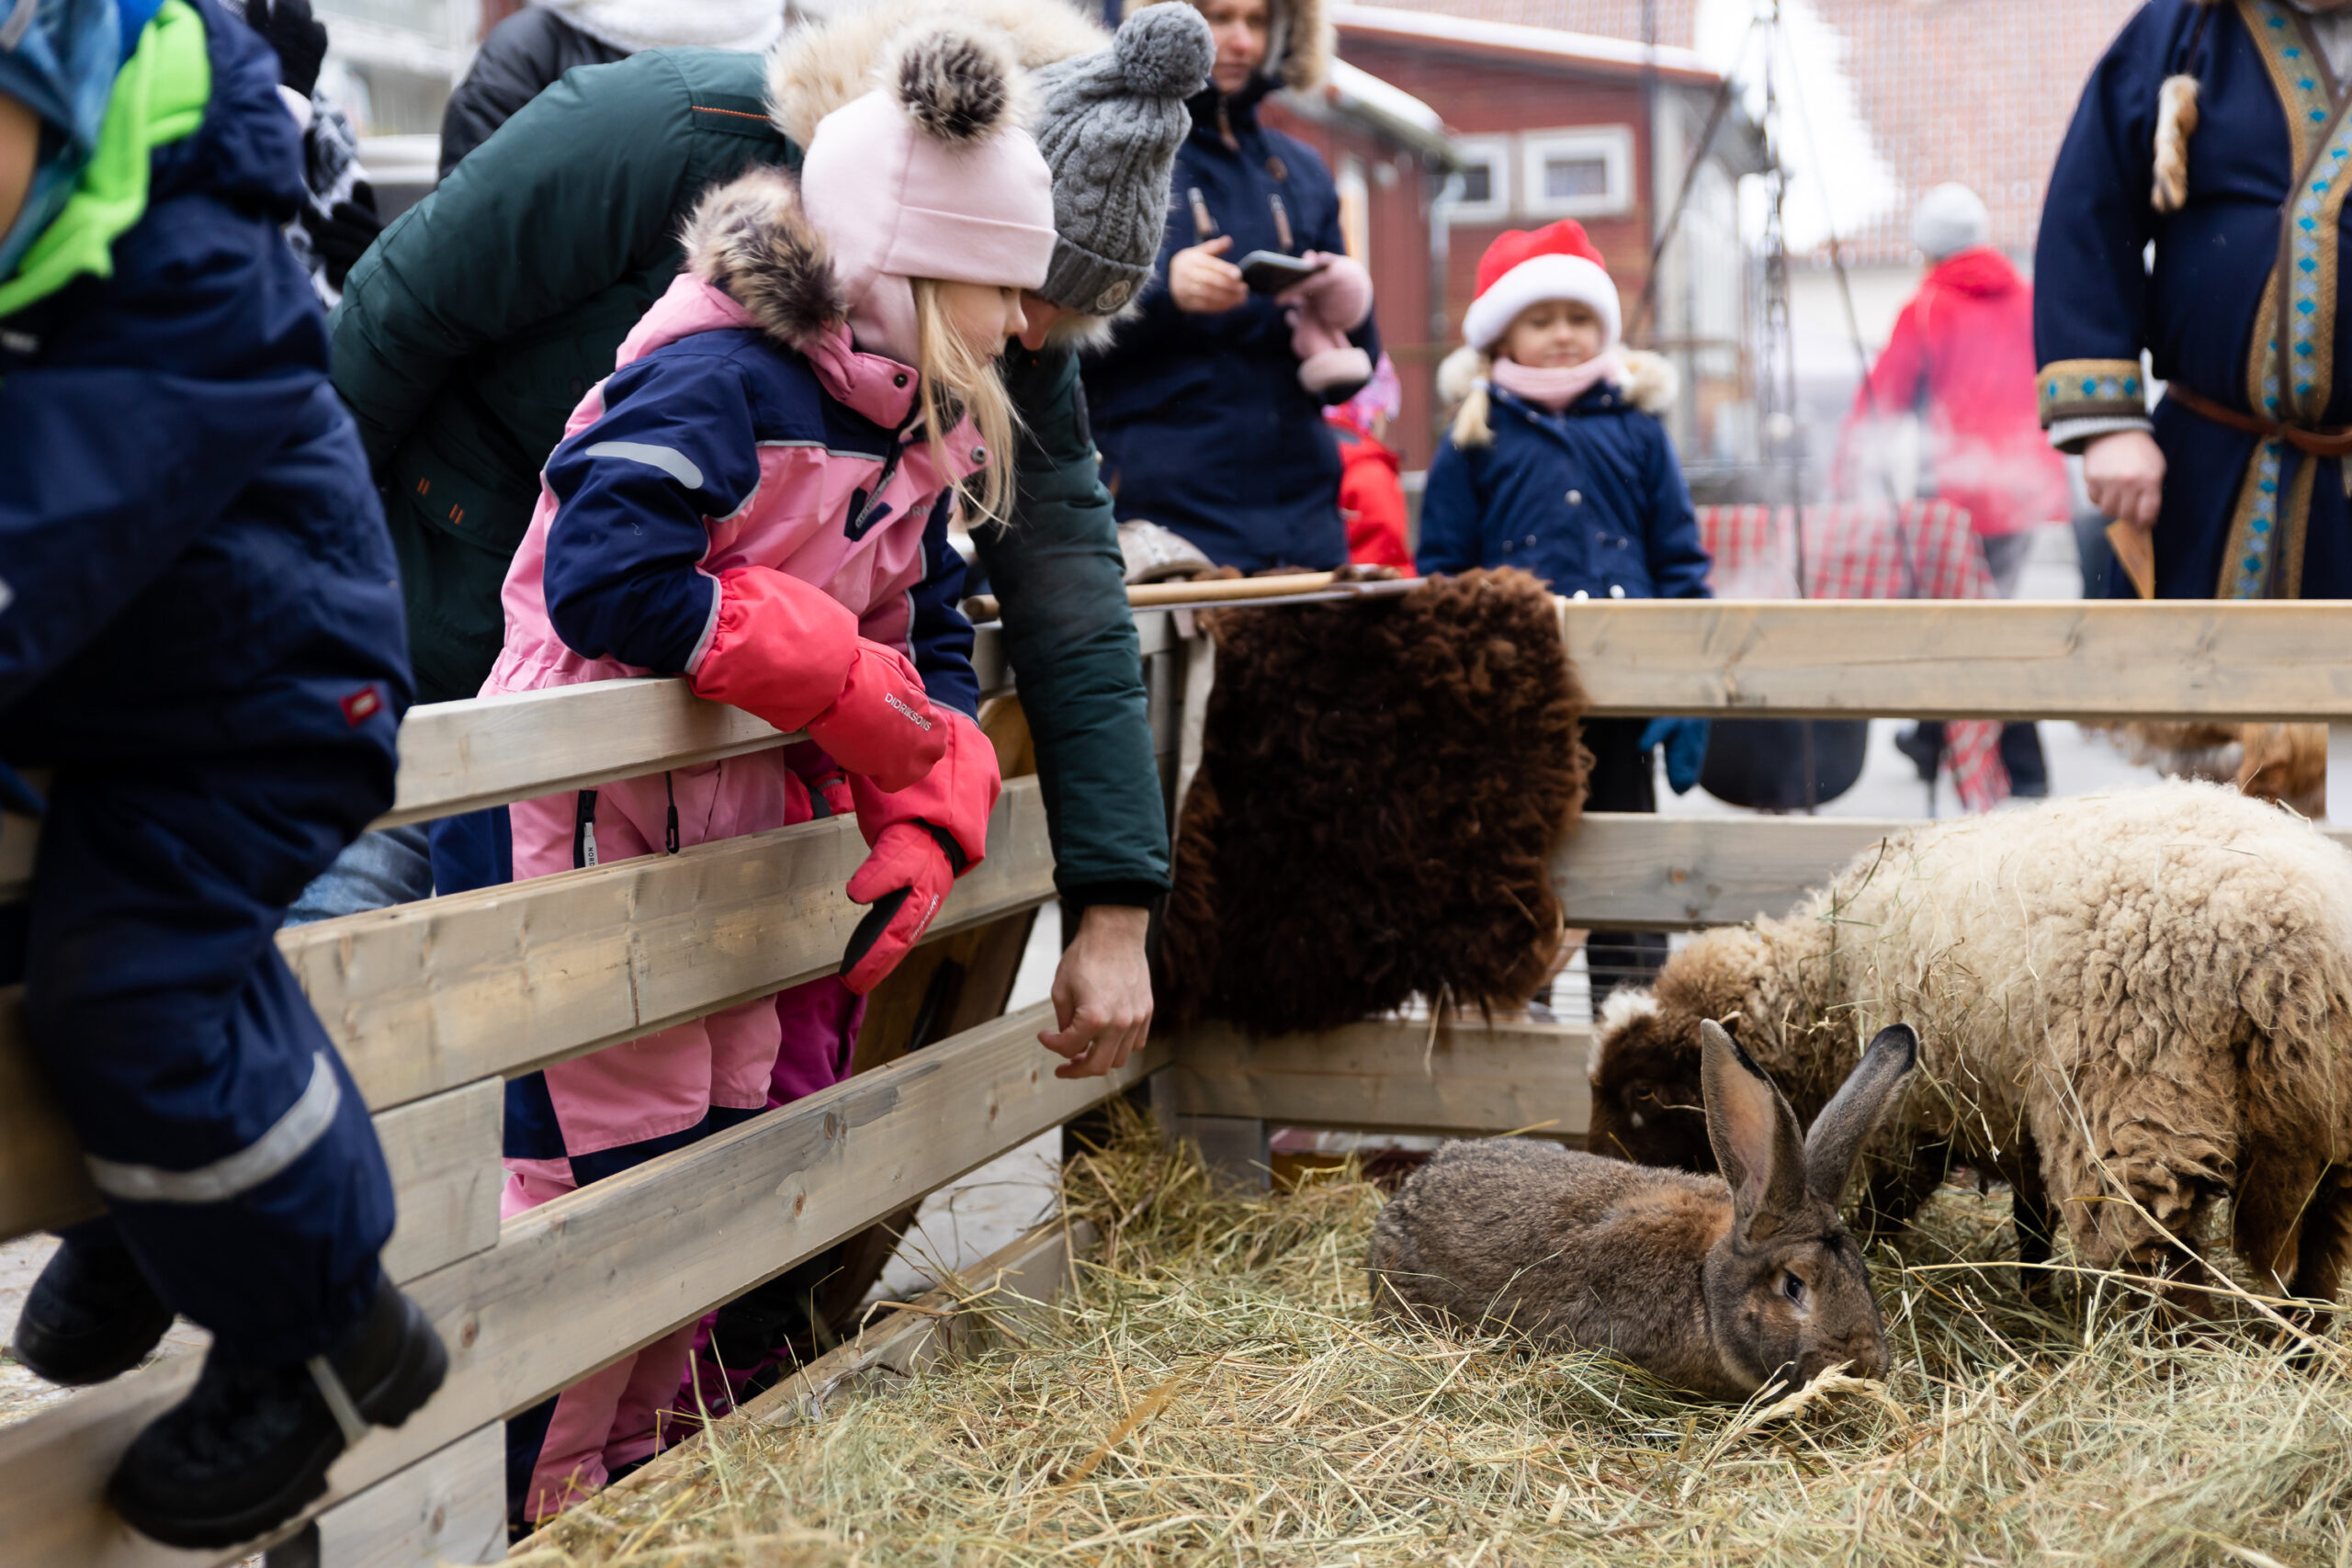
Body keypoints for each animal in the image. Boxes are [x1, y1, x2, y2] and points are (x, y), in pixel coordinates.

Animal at [1589, 780, 2352, 1306]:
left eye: (1643, 1090)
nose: (1605, 1179)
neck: (1828, 977)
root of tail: (2304, 949)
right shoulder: (2011, 1115)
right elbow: (2031, 1221)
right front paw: (2034, 1295)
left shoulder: (1909, 1118)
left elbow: (1887, 1203)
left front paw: (1860, 1252)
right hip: (2331, 1119)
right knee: (2320, 1245)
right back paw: (2303, 1346)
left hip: (2137, 1107)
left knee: (2158, 1255)